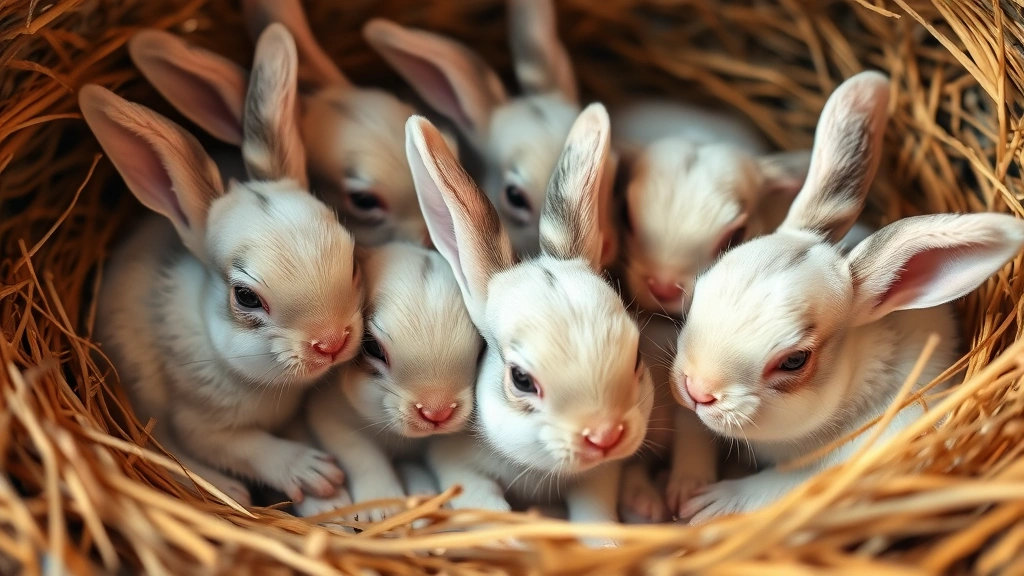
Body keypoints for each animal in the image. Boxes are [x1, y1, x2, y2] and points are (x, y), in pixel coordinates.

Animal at [82, 24, 363, 507]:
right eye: (245, 297)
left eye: (351, 261)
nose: (331, 342)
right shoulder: (202, 425)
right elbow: (245, 446)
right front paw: (315, 474)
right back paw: (227, 488)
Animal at [291, 241, 483, 522]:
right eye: (372, 347)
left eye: (482, 348)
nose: (437, 412)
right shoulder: (330, 416)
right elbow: (363, 455)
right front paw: (379, 509)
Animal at [405, 103, 654, 546]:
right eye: (521, 379)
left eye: (638, 355)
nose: (604, 436)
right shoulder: (454, 462)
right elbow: (483, 501)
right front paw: (514, 539)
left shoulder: (600, 477)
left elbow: (595, 508)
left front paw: (605, 542)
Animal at [667, 70, 1024, 524]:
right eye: (699, 293)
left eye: (794, 361)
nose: (697, 389)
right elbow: (692, 431)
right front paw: (684, 487)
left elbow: (779, 489)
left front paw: (710, 504)